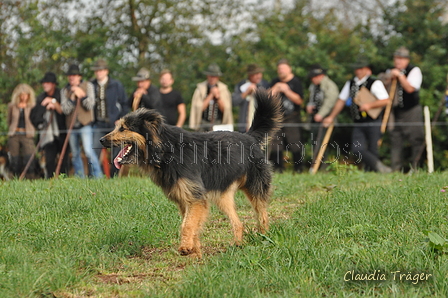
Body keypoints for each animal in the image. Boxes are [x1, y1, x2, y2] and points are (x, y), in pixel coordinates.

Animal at [102, 88, 284, 256]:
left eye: (123, 128)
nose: (101, 140)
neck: (166, 150)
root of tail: (250, 137)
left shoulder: (195, 198)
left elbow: (187, 225)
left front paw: (185, 248)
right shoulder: (184, 199)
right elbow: (190, 224)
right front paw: (195, 250)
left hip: (255, 187)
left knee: (262, 214)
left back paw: (264, 237)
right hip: (222, 195)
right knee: (238, 223)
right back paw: (238, 244)